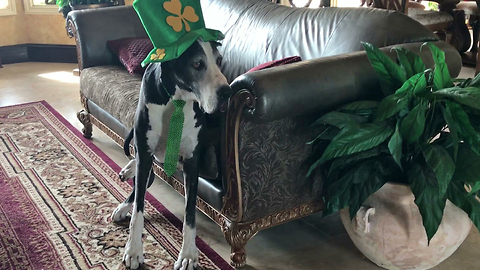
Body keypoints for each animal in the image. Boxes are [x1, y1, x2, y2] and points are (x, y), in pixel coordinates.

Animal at [110, 39, 231, 270]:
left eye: (219, 60)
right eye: (197, 64)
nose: (226, 92)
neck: (177, 100)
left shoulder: (192, 163)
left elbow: (190, 213)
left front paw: (188, 254)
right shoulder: (145, 155)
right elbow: (138, 208)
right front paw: (133, 250)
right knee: (141, 183)